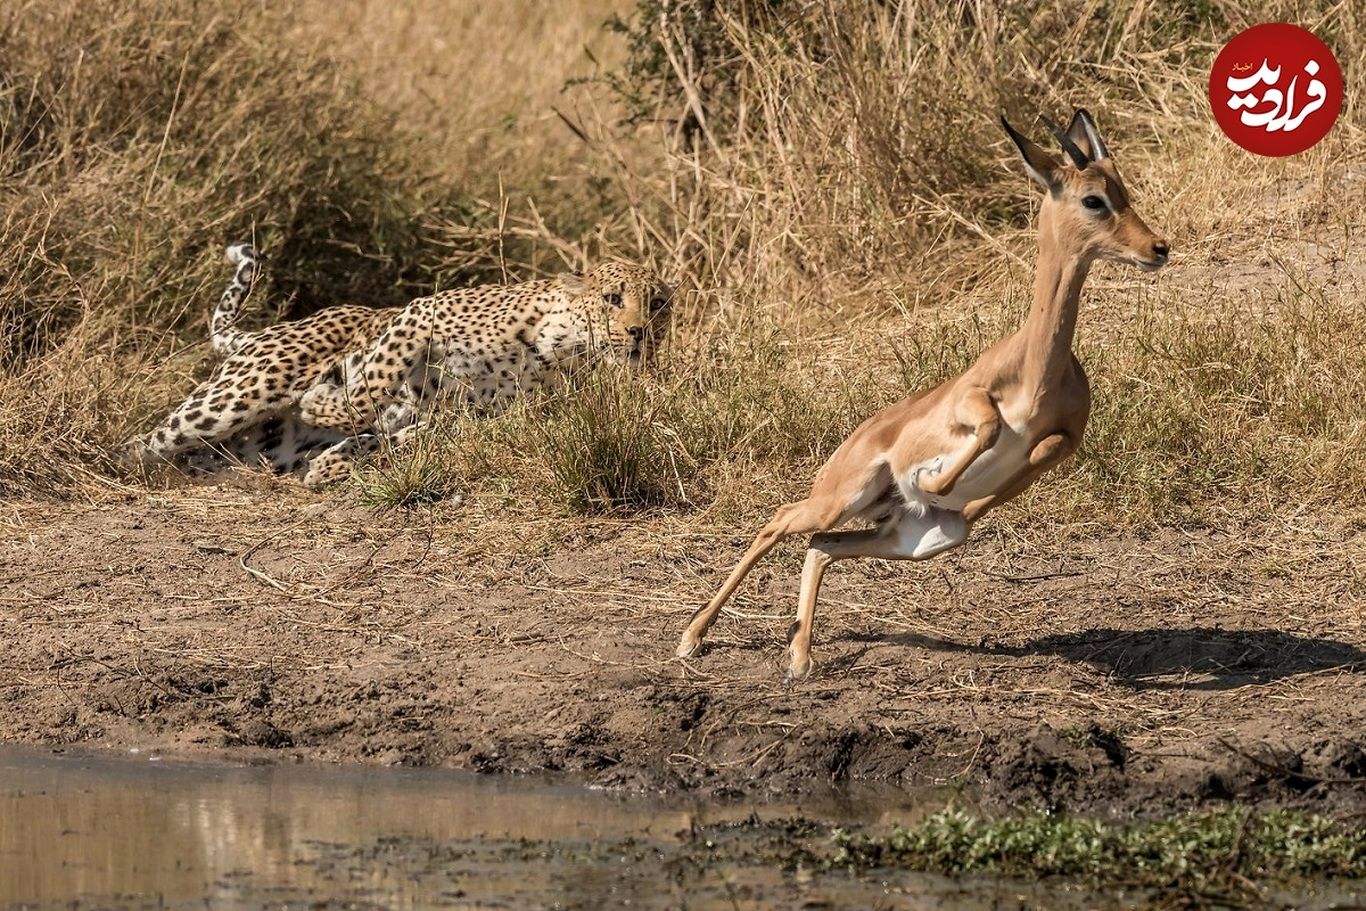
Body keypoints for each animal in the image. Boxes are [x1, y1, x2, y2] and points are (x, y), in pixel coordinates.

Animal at [130, 240, 674, 483]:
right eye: (612, 298)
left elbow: (395, 438)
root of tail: (266, 331)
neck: (560, 346)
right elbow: (372, 385)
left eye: (658, 304)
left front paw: (331, 462)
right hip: (239, 395)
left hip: (252, 446)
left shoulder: (479, 417)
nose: (639, 333)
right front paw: (324, 404)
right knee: (145, 441)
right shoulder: (418, 317)